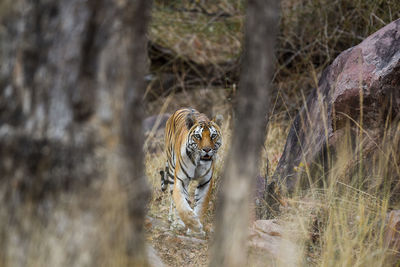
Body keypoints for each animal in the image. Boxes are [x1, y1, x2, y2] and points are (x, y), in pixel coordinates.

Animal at [159, 108, 222, 236]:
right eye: (198, 136)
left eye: (213, 136)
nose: (207, 150)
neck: (198, 162)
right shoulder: (180, 180)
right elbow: (182, 205)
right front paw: (194, 225)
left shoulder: (206, 182)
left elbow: (201, 205)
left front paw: (195, 231)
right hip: (172, 170)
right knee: (173, 197)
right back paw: (175, 221)